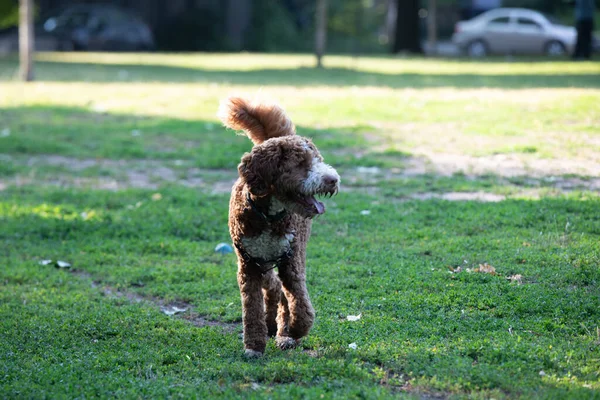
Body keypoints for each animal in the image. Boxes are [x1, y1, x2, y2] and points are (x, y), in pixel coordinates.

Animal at [218, 96, 340, 356]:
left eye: (318, 160)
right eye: (301, 163)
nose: (333, 180)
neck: (268, 216)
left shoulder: (291, 260)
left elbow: (301, 306)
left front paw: (293, 331)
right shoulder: (248, 265)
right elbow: (252, 310)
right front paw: (254, 346)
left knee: (282, 292)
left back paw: (283, 332)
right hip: (259, 261)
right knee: (273, 286)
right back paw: (272, 323)